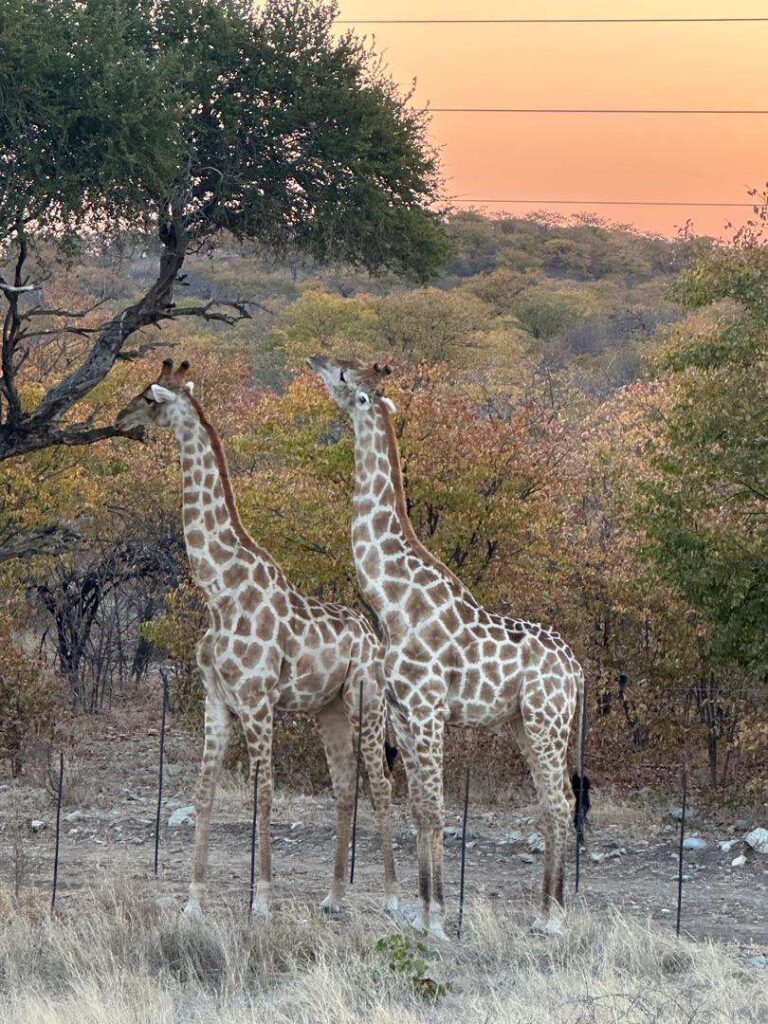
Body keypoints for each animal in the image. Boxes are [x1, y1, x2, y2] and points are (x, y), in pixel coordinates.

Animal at [116, 359, 399, 919]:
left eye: (150, 398)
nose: (121, 417)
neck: (220, 589)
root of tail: (373, 637)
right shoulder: (217, 700)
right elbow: (202, 793)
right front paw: (193, 900)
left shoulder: (257, 700)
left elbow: (262, 793)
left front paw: (263, 899)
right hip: (328, 709)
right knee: (345, 787)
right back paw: (334, 896)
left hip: (368, 700)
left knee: (381, 782)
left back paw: (399, 899)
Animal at [308, 356, 587, 938]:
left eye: (344, 376)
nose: (315, 362)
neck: (392, 601)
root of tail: (577, 671)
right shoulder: (404, 715)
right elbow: (419, 809)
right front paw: (422, 913)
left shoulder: (428, 709)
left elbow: (436, 810)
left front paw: (437, 918)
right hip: (524, 724)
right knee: (552, 803)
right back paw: (542, 913)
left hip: (547, 721)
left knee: (560, 800)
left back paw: (553, 919)